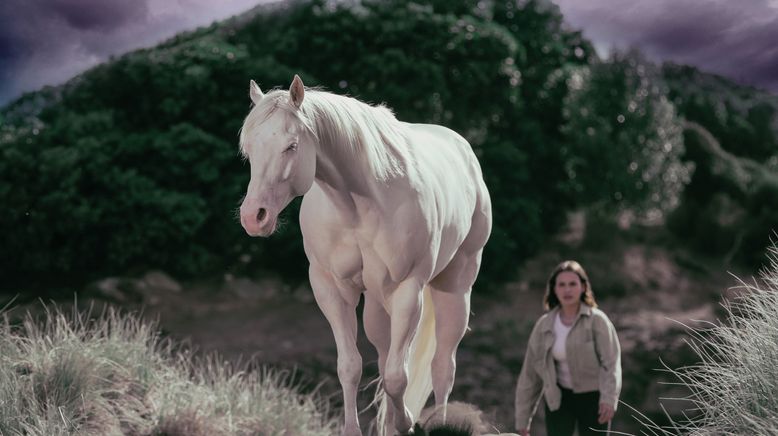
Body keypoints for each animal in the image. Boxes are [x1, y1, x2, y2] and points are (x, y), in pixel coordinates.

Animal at [238, 76, 492, 434]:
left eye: (292, 146)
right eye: (249, 150)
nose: (253, 217)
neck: (359, 206)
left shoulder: (407, 291)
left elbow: (398, 377)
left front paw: (406, 420)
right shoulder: (331, 289)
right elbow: (351, 367)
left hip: (454, 289)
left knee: (442, 367)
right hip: (376, 302)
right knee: (387, 358)